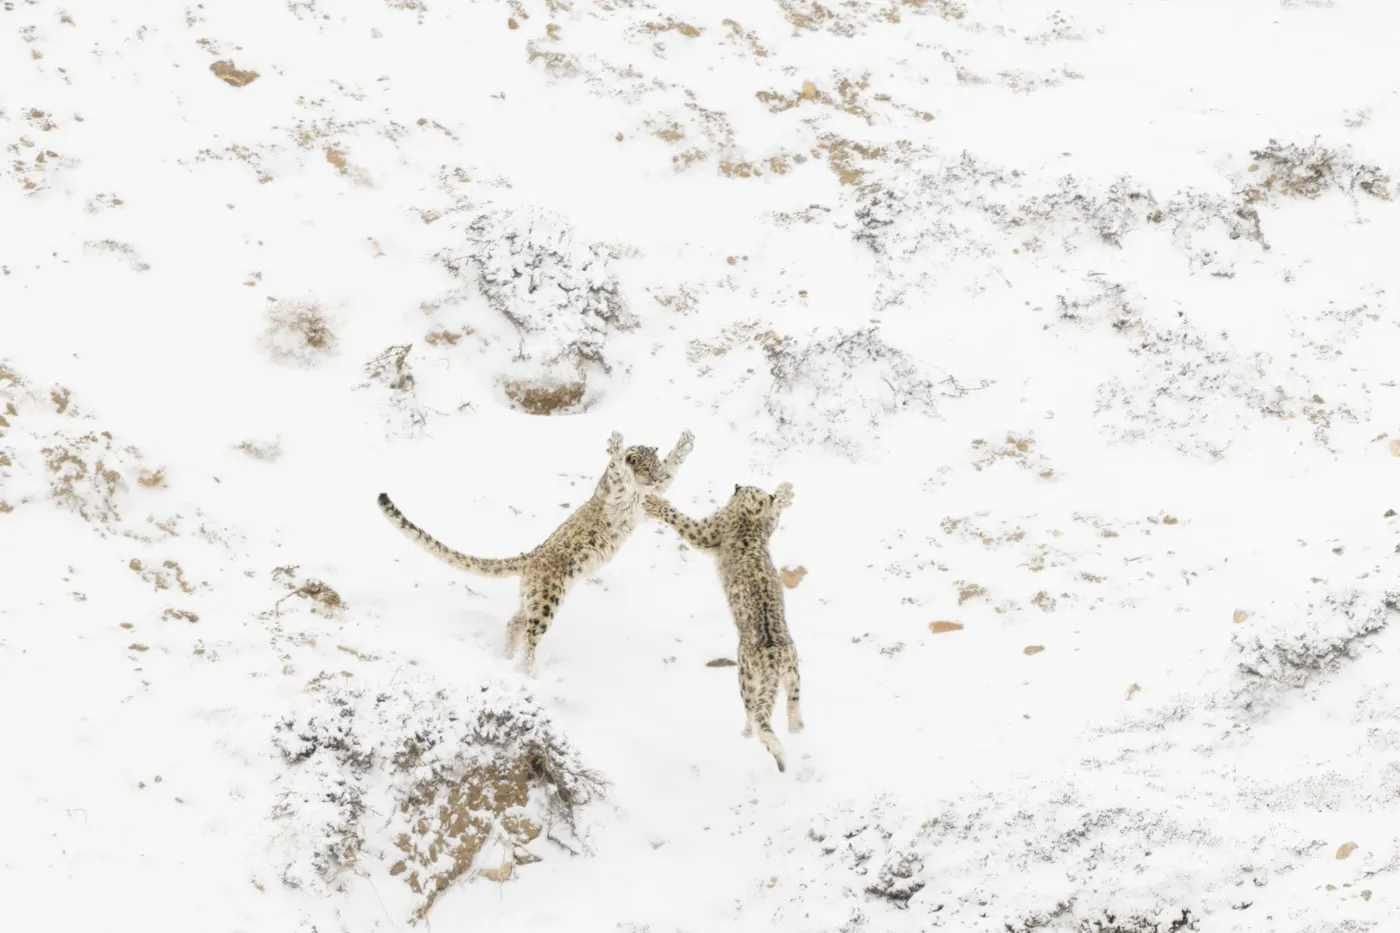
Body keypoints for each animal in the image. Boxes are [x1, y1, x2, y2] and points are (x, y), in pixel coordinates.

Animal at [380, 428, 691, 669]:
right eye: (646, 467)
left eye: (656, 467)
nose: (655, 476)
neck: (639, 495)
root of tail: (530, 557)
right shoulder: (618, 490)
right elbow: (618, 470)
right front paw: (617, 445)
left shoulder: (652, 496)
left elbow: (671, 472)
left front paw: (685, 443)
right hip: (546, 600)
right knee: (530, 634)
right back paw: (528, 670)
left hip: (532, 597)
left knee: (515, 622)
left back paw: (507, 657)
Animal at [644, 479, 800, 767]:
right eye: (755, 487)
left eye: (747, 488)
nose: (737, 484)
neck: (747, 521)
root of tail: (774, 656)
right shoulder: (767, 525)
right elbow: (775, 515)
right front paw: (784, 492)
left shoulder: (706, 531)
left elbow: (681, 520)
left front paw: (655, 504)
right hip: (793, 673)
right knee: (793, 703)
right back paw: (797, 727)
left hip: (745, 676)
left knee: (753, 711)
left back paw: (747, 732)